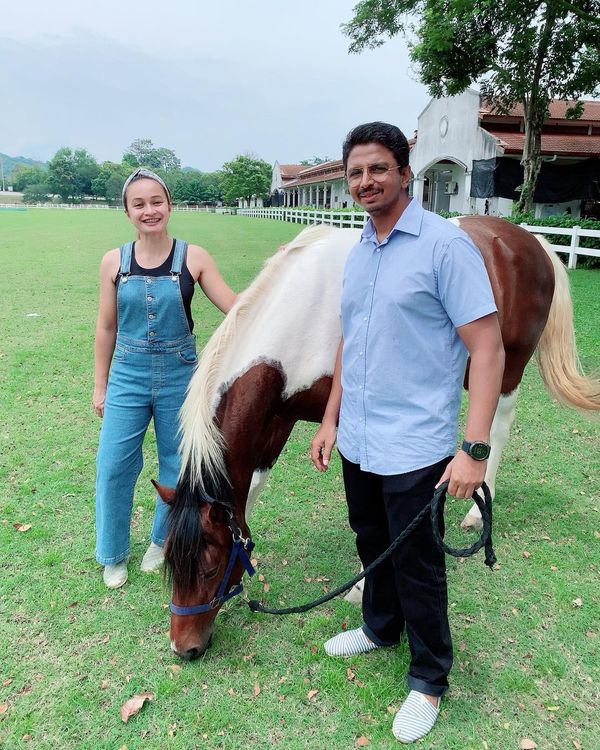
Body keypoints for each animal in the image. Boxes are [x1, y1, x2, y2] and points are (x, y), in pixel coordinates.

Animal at [157, 216, 600, 656]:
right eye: (170, 564)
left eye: (210, 566)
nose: (184, 647)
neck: (303, 314)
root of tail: (529, 240)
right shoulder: (277, 416)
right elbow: (250, 488)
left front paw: (362, 587)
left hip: (509, 369)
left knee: (496, 431)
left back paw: (477, 513)